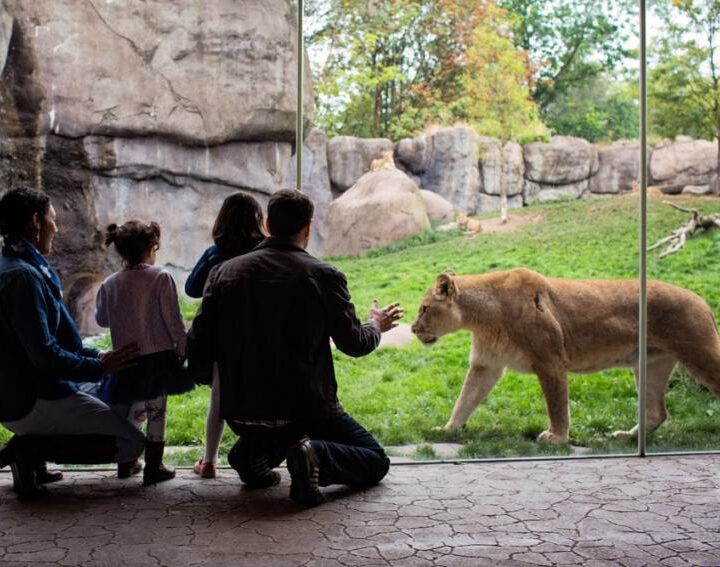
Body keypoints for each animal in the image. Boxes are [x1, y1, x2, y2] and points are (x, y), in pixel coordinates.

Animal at [410, 270, 720, 444]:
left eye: (424, 308)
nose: (413, 329)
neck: (483, 317)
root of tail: (702, 300)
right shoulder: (486, 365)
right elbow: (465, 400)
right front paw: (447, 430)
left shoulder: (549, 361)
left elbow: (557, 405)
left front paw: (557, 438)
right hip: (651, 364)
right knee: (657, 412)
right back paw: (627, 437)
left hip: (700, 353)